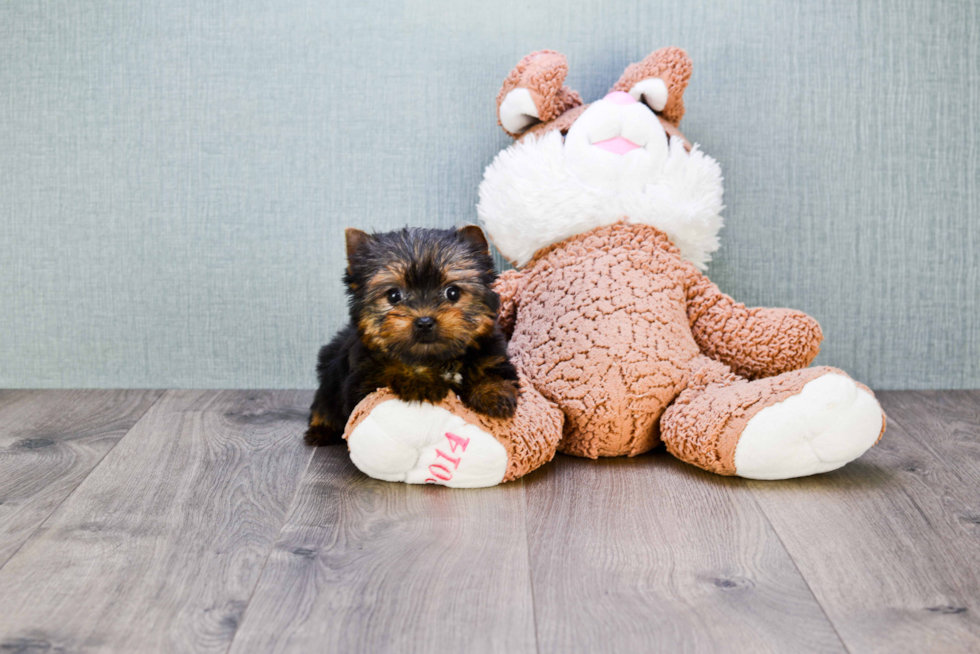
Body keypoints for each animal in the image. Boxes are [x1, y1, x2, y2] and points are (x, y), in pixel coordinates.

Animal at [306, 226, 520, 446]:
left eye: (452, 292)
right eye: (394, 295)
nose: (424, 322)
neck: (435, 359)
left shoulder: (492, 353)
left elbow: (491, 371)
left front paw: (494, 392)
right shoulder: (362, 379)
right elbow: (390, 368)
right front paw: (423, 381)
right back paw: (321, 430)